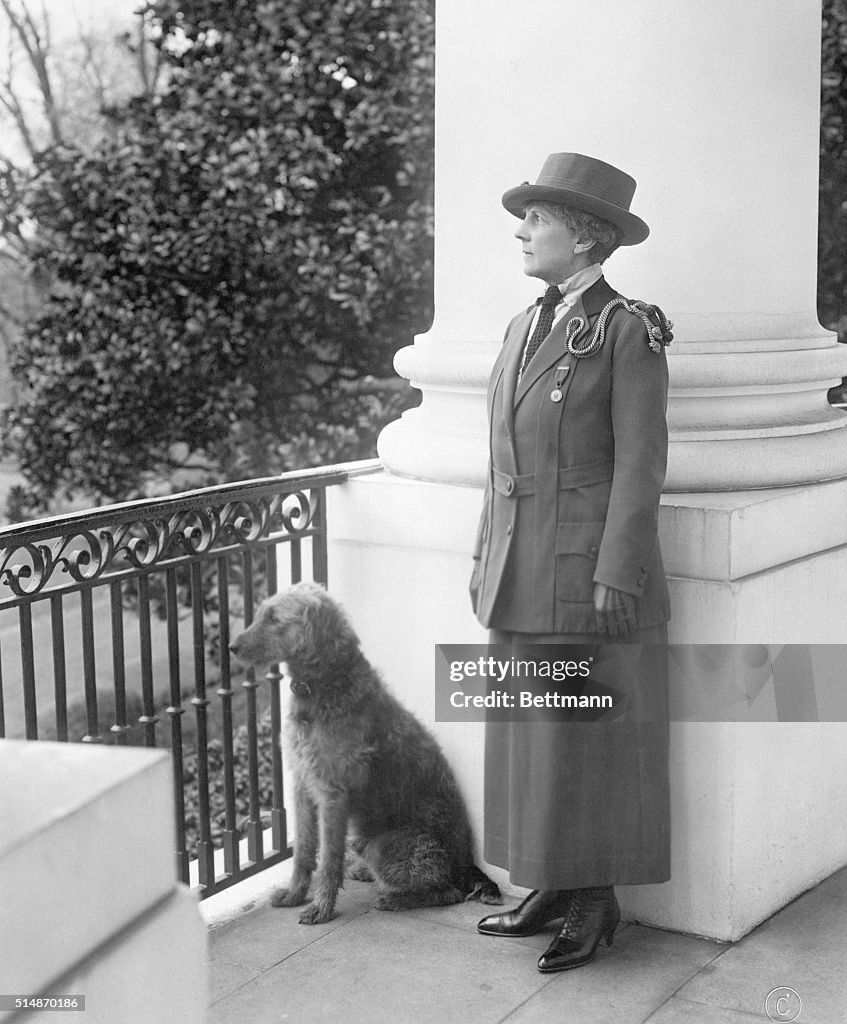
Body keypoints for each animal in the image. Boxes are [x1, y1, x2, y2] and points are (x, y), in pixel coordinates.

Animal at [228, 581, 499, 925]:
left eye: (274, 619)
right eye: (263, 613)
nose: (232, 647)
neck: (322, 686)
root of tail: (466, 865)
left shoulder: (332, 795)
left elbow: (329, 861)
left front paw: (321, 907)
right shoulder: (302, 785)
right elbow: (302, 851)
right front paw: (294, 894)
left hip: (383, 848)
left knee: (448, 891)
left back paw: (394, 898)